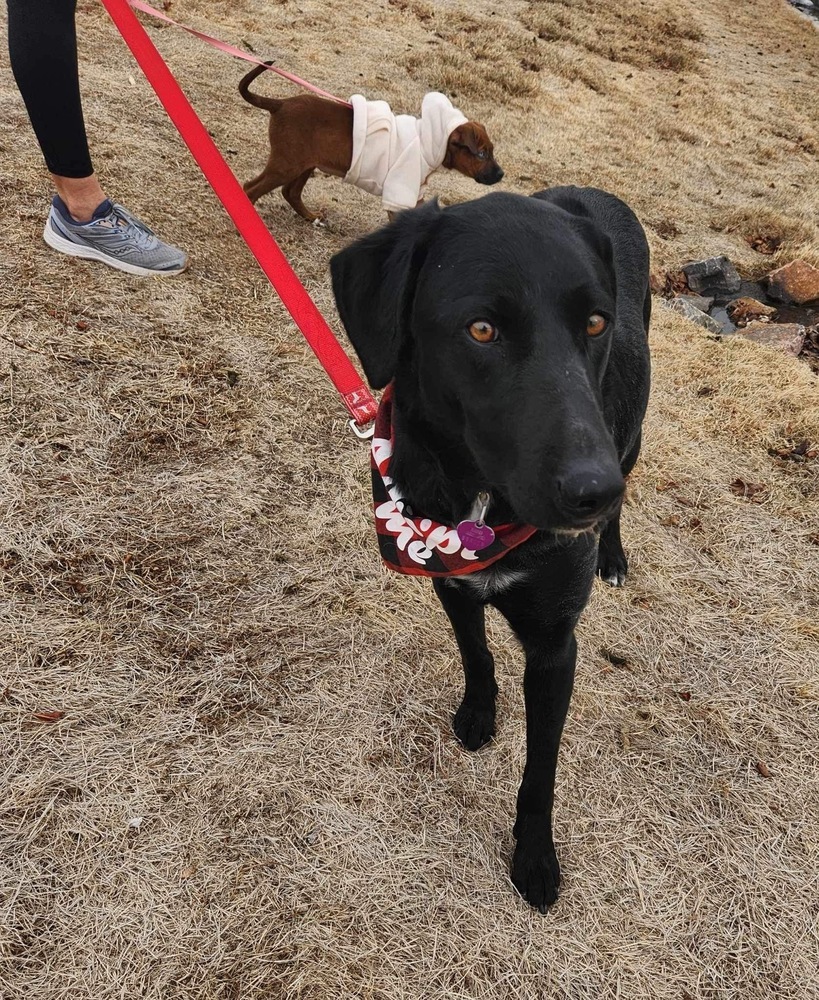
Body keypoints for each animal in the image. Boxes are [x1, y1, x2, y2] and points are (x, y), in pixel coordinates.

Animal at [240, 65, 502, 225]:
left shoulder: (413, 194)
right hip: (287, 164)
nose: (501, 174)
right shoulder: (399, 193)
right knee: (251, 188)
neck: (430, 140)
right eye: (481, 154)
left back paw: (310, 216)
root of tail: (280, 104)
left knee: (290, 192)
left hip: (305, 163)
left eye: (491, 152)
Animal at [330, 184, 652, 912]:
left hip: (631, 434)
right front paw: (479, 711)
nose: (594, 492)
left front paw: (534, 856)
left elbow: (540, 769)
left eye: (595, 324)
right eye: (482, 330)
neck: (481, 502)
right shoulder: (450, 579)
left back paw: (613, 553)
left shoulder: (555, 645)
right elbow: (475, 652)